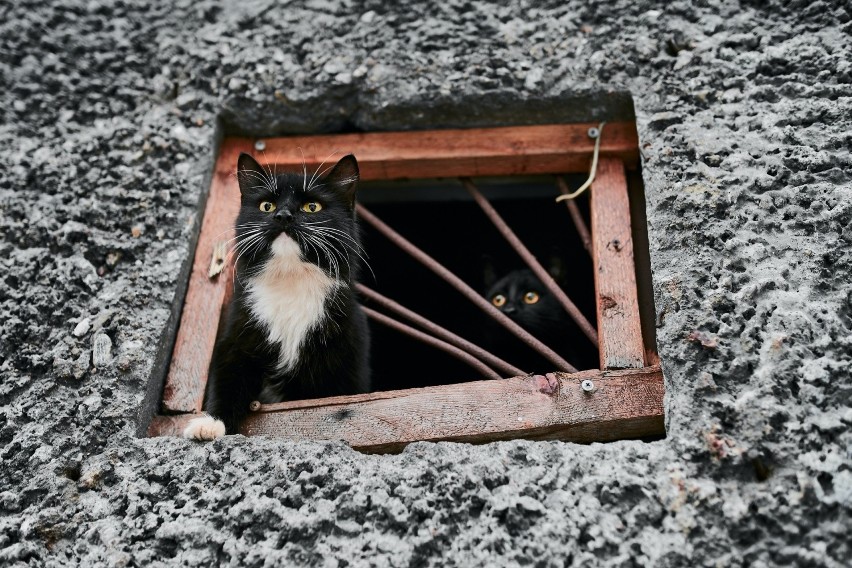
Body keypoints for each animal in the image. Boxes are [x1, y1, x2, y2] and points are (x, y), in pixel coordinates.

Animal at [183, 152, 370, 440]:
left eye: (312, 207)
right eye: (267, 206)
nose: (283, 215)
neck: (290, 280)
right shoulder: (235, 338)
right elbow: (226, 380)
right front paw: (212, 423)